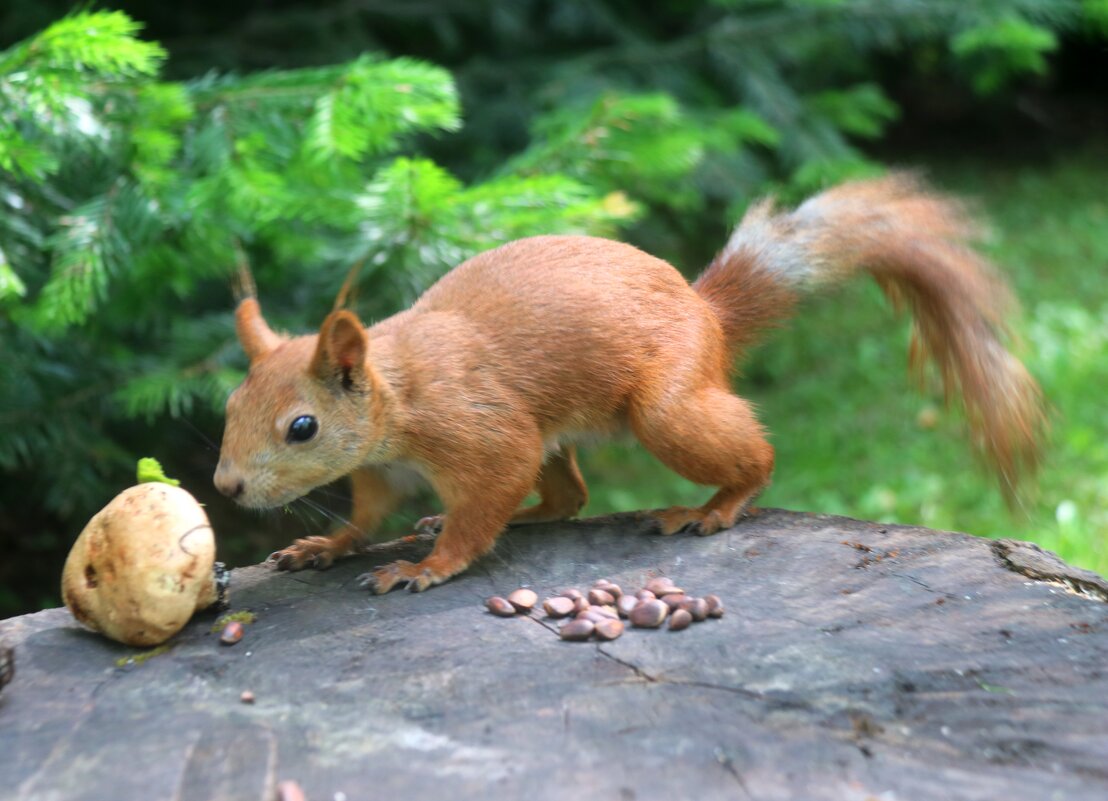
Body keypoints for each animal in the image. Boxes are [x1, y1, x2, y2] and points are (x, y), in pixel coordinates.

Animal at [211, 175, 1041, 593]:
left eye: (302, 426)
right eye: (229, 403)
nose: (225, 487)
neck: (399, 392)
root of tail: (705, 314)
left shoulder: (480, 429)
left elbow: (486, 497)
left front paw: (429, 565)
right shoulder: (381, 467)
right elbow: (365, 515)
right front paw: (324, 544)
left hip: (667, 407)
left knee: (751, 458)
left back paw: (713, 507)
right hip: (569, 434)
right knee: (569, 497)